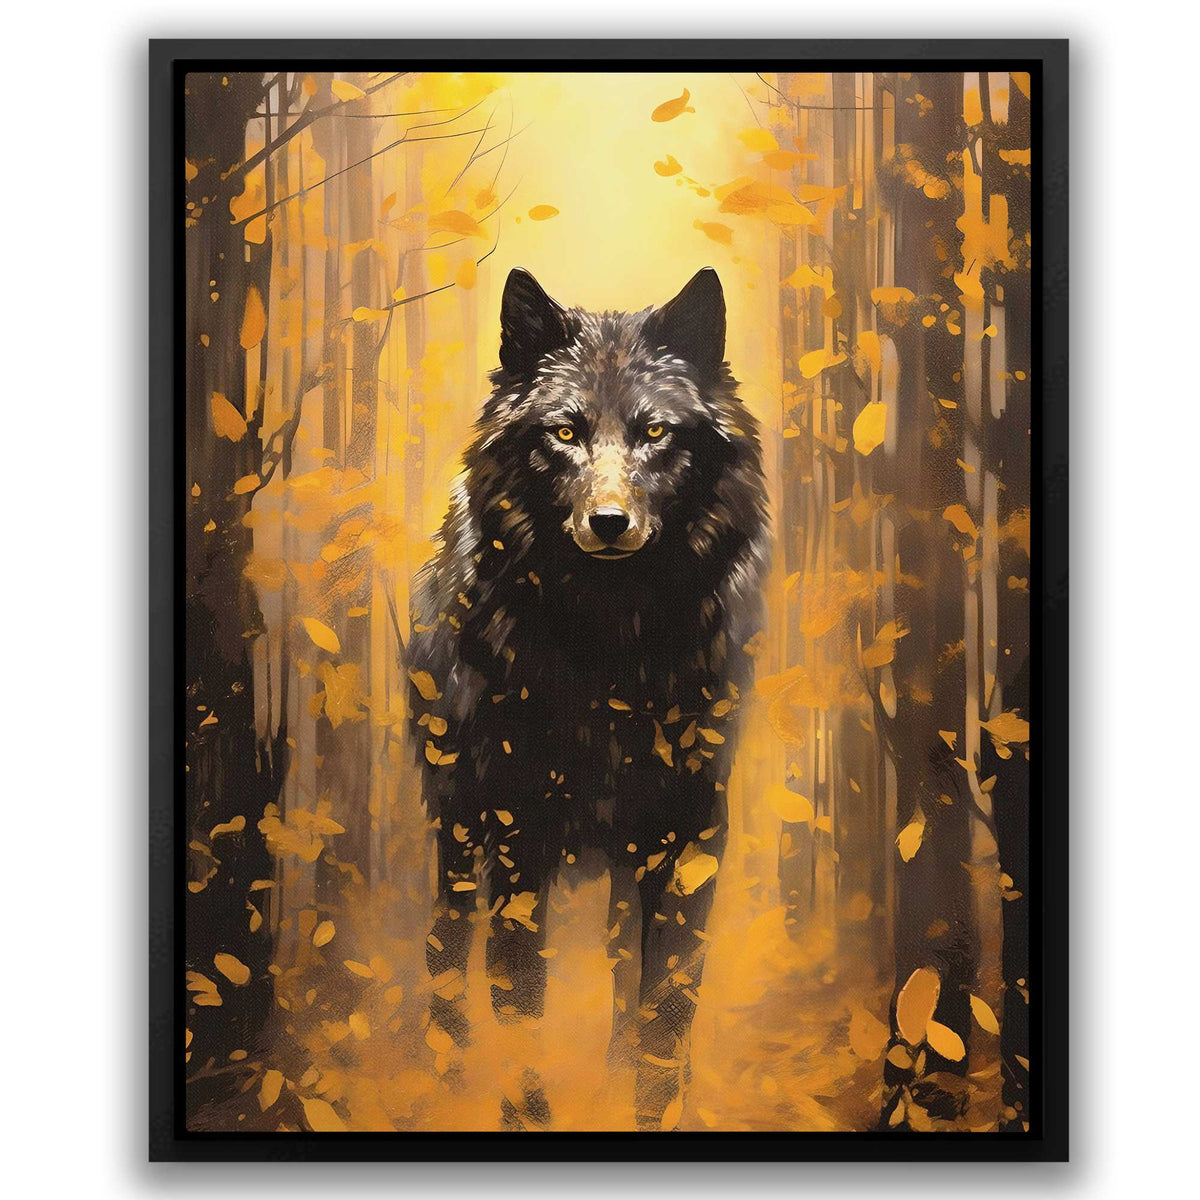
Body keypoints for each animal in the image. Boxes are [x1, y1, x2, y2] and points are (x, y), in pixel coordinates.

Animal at [407, 266, 769, 1130]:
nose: (609, 521)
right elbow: (519, 1006)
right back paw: (442, 1085)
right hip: (456, 837)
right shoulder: (518, 840)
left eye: (655, 432)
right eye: (565, 433)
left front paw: (652, 1108)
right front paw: (524, 1115)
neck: (614, 658)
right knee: (445, 957)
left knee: (620, 978)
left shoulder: (691, 837)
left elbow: (665, 1010)